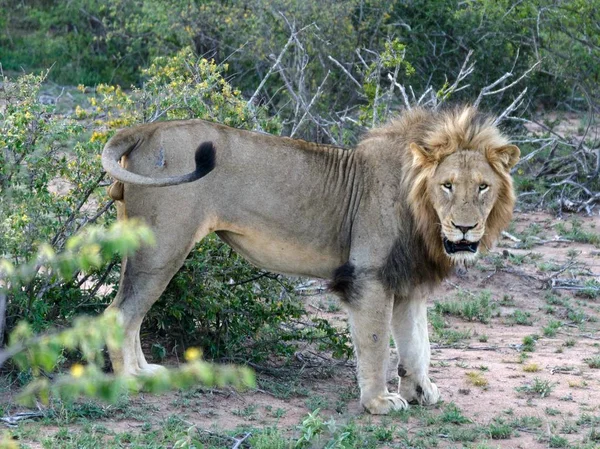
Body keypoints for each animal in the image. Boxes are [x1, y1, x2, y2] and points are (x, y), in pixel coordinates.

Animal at [101, 105, 516, 412]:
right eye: (447, 186)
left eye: (483, 187)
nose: (465, 228)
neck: (422, 212)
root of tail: (147, 128)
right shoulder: (368, 276)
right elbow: (377, 344)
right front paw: (379, 402)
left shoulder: (408, 281)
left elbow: (418, 344)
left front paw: (421, 390)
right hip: (164, 246)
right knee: (121, 312)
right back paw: (130, 381)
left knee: (129, 312)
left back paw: (147, 371)